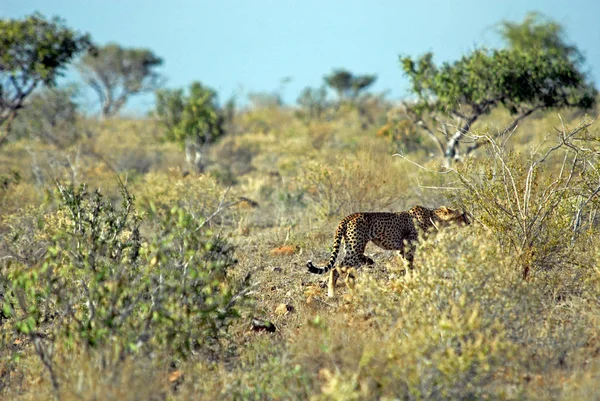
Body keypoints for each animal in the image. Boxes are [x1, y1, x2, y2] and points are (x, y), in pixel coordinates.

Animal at [310, 205, 468, 296]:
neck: (434, 218)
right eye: (462, 215)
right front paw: (412, 281)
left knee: (347, 274)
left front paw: (407, 281)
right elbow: (410, 266)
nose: (469, 221)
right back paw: (333, 294)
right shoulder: (409, 246)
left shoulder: (402, 249)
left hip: (352, 249)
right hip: (355, 249)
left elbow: (406, 265)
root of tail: (349, 216)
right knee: (336, 268)